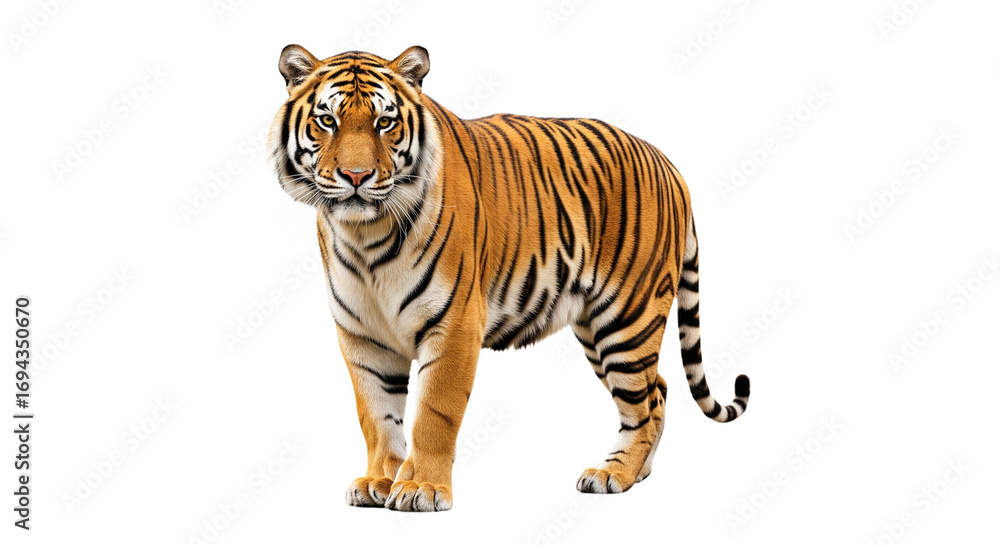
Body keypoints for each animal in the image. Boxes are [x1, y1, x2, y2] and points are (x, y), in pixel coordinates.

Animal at [268, 44, 750, 512]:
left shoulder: (455, 324)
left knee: (643, 403)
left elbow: (434, 414)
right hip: (596, 327)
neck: (365, 236)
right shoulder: (363, 335)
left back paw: (613, 474)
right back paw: (638, 472)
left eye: (384, 122)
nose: (356, 177)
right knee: (660, 390)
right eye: (327, 121)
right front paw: (379, 481)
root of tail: (669, 164)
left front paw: (423, 488)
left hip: (627, 319)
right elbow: (377, 416)